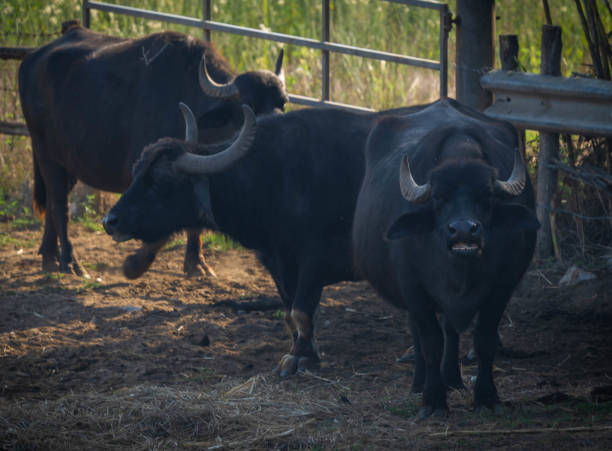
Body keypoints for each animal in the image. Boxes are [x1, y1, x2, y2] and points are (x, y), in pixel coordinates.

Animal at [18, 22, 286, 278]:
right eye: (246, 106)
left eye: (282, 102)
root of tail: (34, 58)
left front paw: (197, 264)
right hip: (44, 150)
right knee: (60, 206)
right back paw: (71, 263)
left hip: (66, 162)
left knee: (52, 205)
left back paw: (49, 257)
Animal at [352, 99, 536, 420]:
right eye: (439, 198)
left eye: (486, 196)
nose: (463, 230)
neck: (461, 274)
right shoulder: (414, 289)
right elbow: (430, 342)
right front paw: (433, 400)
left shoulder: (502, 288)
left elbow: (484, 339)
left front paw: (486, 396)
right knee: (419, 333)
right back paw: (419, 383)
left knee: (451, 329)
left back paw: (452, 378)